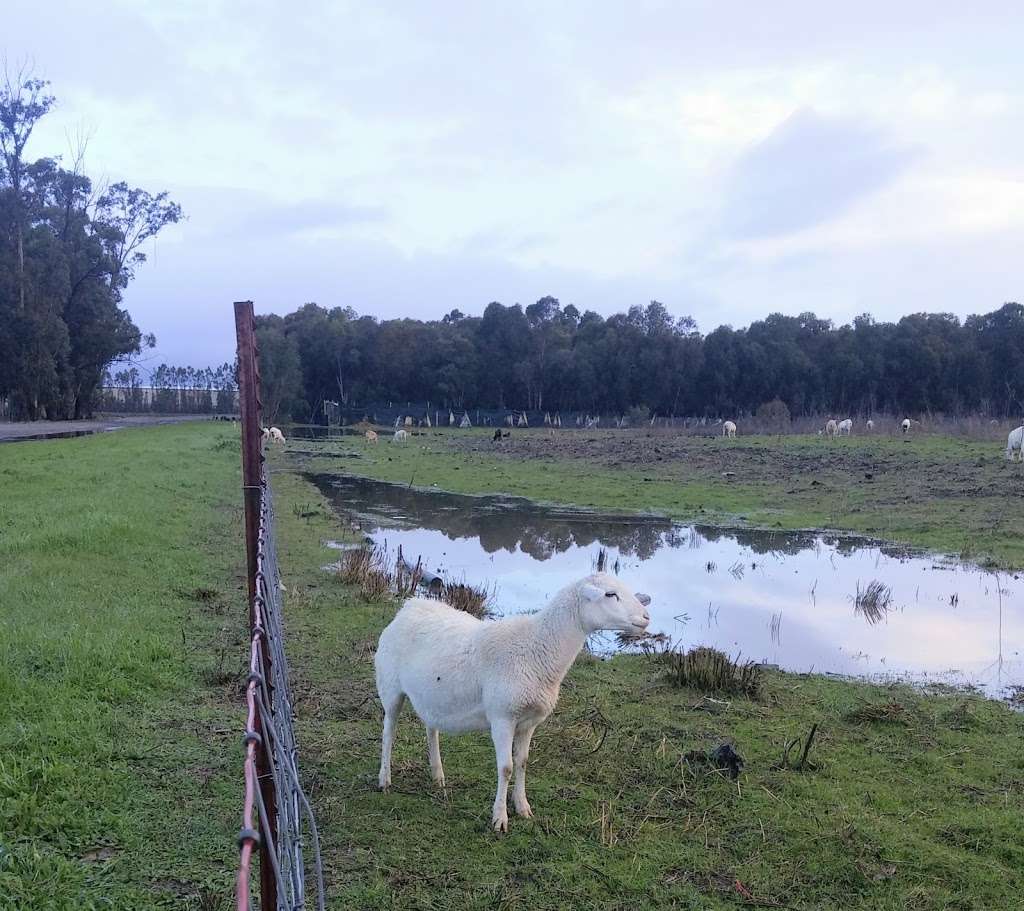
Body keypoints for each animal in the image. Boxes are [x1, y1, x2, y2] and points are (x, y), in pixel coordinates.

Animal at [372, 573, 651, 831]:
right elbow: (506, 767)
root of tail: (411, 605)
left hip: (432, 695)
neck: (538, 648)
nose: (646, 617)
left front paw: (523, 807)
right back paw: (384, 780)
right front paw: (500, 818)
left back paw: (437, 775)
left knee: (431, 728)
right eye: (610, 594)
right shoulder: (502, 717)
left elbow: (523, 763)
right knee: (389, 732)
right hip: (390, 687)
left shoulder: (529, 722)